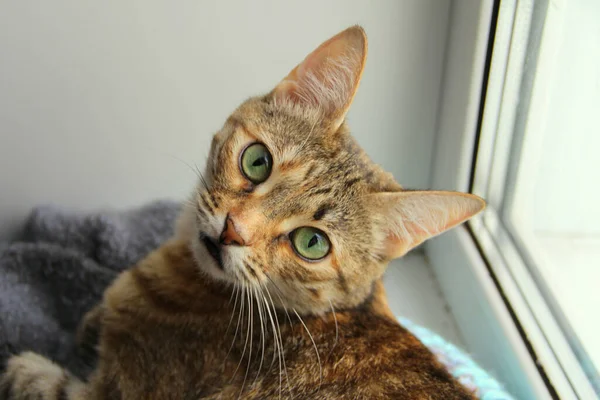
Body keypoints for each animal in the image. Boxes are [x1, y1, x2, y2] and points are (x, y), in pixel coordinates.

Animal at [0, 25, 486, 400]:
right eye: (257, 161)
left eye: (312, 242)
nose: (233, 230)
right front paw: (90, 323)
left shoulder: (118, 392)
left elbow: (43, 380)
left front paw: (25, 365)